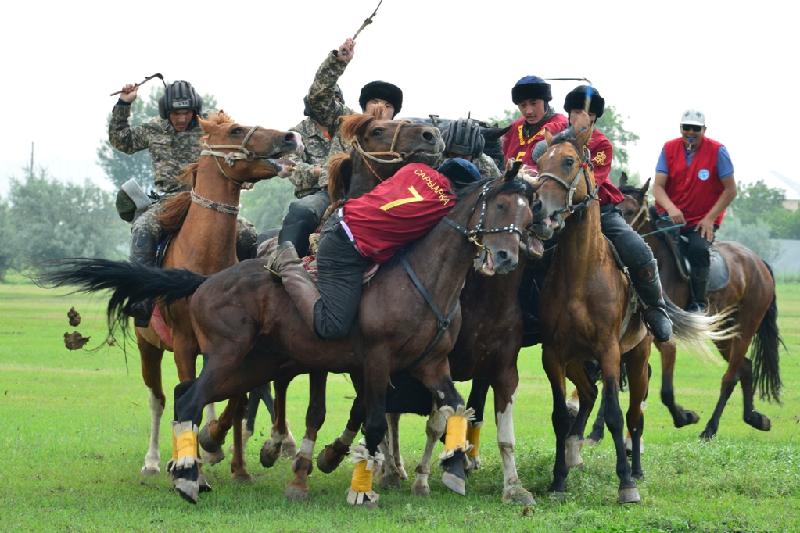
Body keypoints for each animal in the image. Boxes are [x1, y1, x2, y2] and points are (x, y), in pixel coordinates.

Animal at [524, 127, 736, 500]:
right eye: (540, 161)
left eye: (568, 161)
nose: (537, 207)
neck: (580, 275)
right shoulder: (555, 355)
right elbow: (560, 416)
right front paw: (559, 480)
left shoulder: (609, 353)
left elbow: (614, 415)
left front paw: (625, 484)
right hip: (580, 362)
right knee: (590, 397)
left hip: (637, 360)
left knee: (635, 416)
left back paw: (635, 470)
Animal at [612, 175, 780, 436]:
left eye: (629, 211)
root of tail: (758, 262)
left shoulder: (665, 340)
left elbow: (665, 390)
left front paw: (684, 417)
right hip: (722, 332)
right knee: (745, 367)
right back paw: (754, 417)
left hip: (745, 329)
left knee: (730, 377)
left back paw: (710, 428)